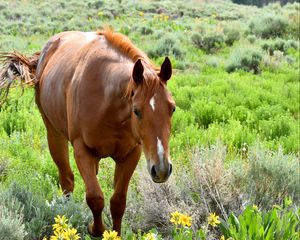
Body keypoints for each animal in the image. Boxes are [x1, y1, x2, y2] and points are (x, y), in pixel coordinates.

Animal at [0, 29, 176, 236]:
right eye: (137, 111)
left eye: (172, 108)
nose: (162, 169)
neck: (108, 101)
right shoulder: (82, 150)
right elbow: (95, 198)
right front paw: (95, 229)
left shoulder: (131, 153)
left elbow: (118, 202)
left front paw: (113, 234)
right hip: (54, 134)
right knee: (67, 180)